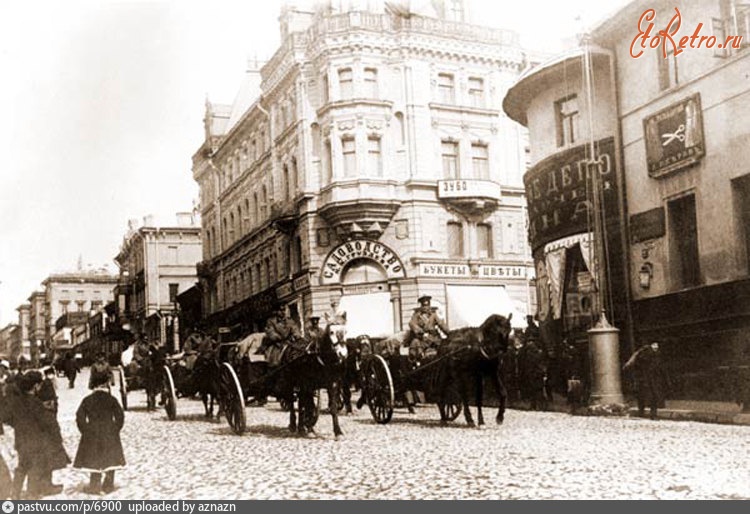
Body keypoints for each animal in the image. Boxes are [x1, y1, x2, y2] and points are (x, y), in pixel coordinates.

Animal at [360, 314, 516, 426]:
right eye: (496, 332)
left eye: (508, 331)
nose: (502, 352)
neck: (478, 345)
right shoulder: (466, 375)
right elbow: (469, 397)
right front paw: (473, 419)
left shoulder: (489, 373)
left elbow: (500, 393)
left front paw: (498, 417)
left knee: (442, 394)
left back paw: (442, 416)